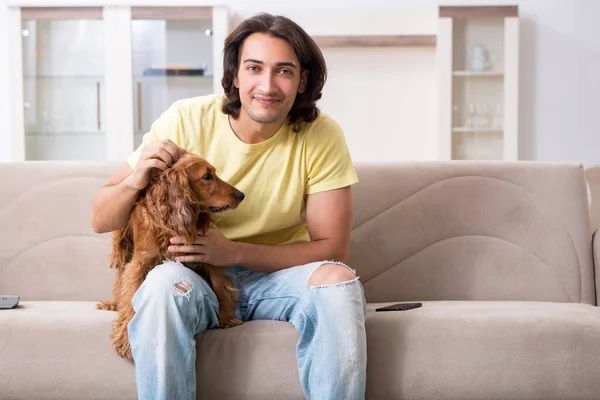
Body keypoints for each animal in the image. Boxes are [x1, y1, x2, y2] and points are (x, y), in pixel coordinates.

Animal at [96, 152, 244, 360]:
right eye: (207, 176)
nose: (241, 195)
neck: (171, 222)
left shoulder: (205, 252)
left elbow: (219, 285)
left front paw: (228, 317)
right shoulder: (140, 262)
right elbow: (130, 296)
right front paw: (125, 337)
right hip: (122, 248)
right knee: (119, 282)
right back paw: (113, 303)